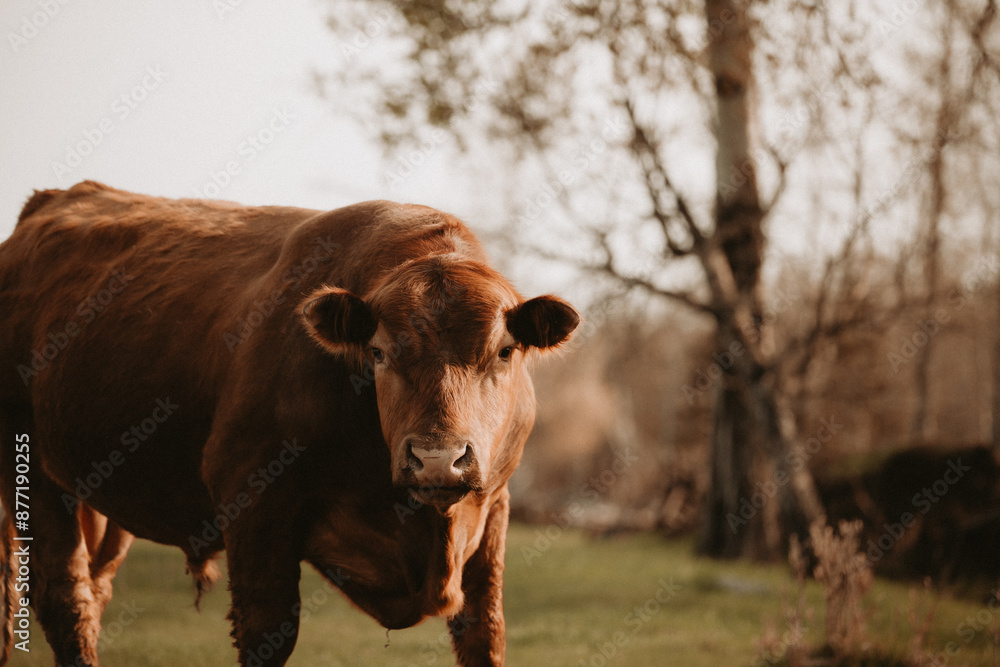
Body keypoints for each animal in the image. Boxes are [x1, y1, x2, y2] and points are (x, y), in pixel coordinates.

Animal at [0, 181, 580, 667]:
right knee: (61, 594)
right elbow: (267, 632)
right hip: (31, 471)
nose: (438, 459)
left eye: (504, 351)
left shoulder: (494, 508)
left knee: (88, 590)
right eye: (379, 352)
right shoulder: (253, 500)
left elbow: (484, 633)